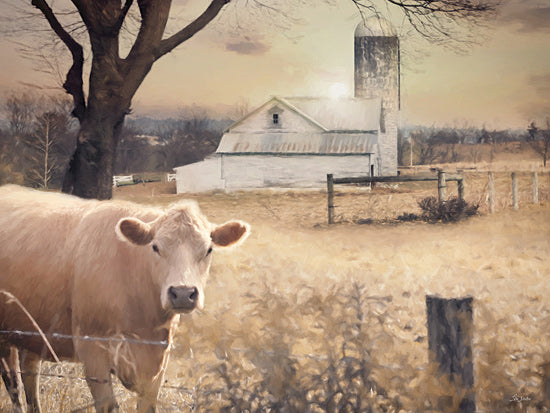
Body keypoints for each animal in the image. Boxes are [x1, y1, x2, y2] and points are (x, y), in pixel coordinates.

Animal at [0, 185, 250, 410]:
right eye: (155, 247)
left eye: (208, 250)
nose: (182, 293)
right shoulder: (93, 353)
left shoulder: (158, 361)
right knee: (14, 385)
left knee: (29, 376)